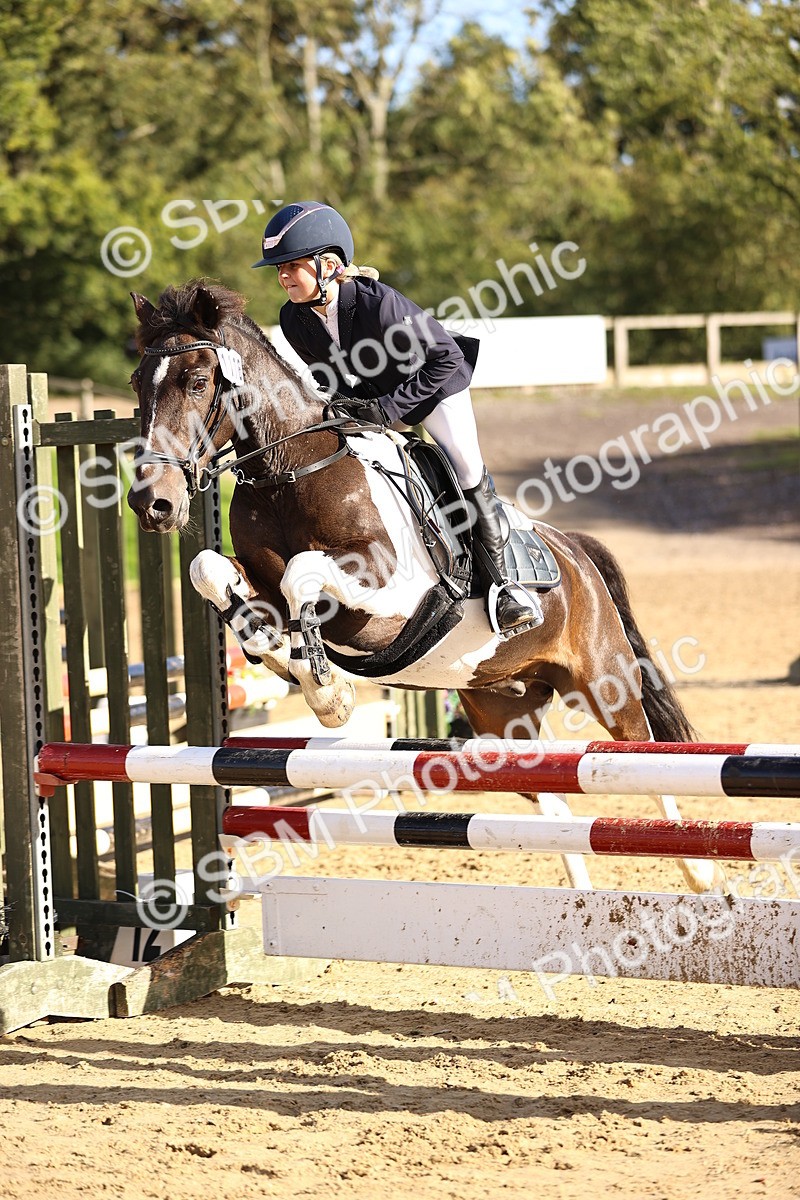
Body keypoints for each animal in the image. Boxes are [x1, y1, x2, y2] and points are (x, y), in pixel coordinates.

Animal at [126, 280, 719, 893]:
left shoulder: (390, 593)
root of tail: (576, 552)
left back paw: (698, 870)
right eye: (137, 384)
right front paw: (277, 652)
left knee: (639, 752)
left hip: (604, 679)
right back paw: (580, 900)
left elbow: (302, 575)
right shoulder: (257, 573)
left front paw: (326, 691)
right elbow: (210, 571)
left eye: (197, 381)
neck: (289, 471)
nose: (152, 504)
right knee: (553, 797)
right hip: (501, 708)